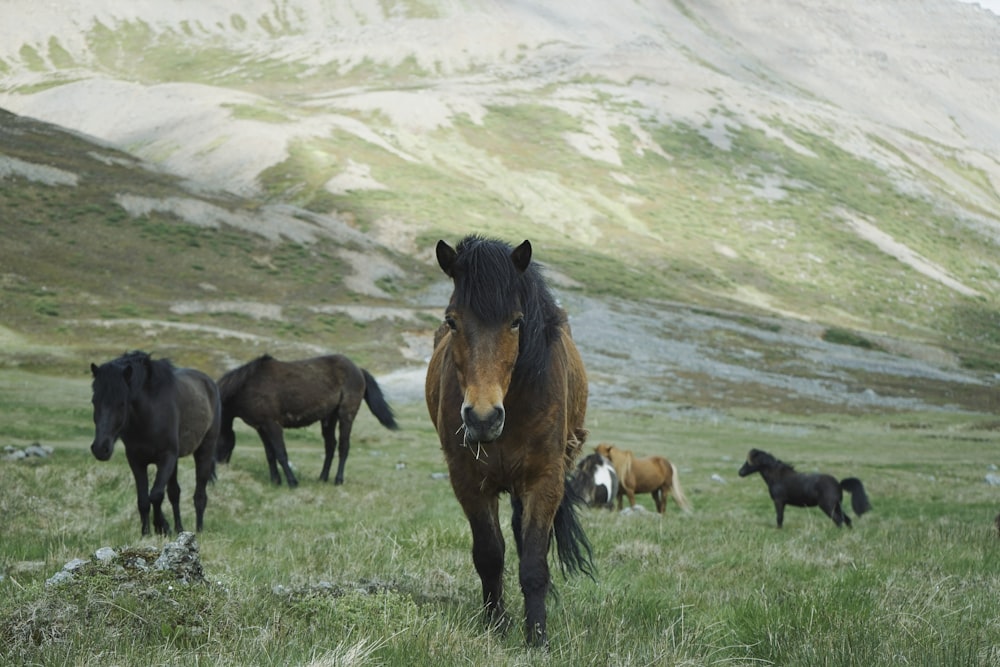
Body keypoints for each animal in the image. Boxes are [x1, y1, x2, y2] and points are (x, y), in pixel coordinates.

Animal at [90, 352, 221, 540]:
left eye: (122, 403)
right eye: (94, 401)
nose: (101, 448)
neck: (149, 415)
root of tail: (209, 383)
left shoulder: (166, 458)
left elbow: (156, 495)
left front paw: (161, 527)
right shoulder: (136, 460)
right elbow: (144, 500)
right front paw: (146, 533)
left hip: (204, 450)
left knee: (200, 495)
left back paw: (199, 529)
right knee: (174, 493)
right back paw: (179, 529)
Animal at [216, 354, 398, 486]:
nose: (219, 467)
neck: (247, 386)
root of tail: (358, 369)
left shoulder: (273, 425)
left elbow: (281, 453)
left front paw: (292, 482)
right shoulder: (261, 427)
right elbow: (270, 454)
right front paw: (276, 481)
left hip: (346, 415)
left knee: (343, 447)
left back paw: (338, 480)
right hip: (329, 418)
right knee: (330, 446)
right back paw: (322, 478)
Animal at [424, 235, 592, 648]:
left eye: (516, 321)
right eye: (452, 321)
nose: (483, 418)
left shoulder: (544, 480)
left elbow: (533, 561)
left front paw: (537, 638)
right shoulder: (469, 482)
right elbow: (489, 555)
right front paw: (496, 624)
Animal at [740, 448, 872, 528]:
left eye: (748, 462)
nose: (740, 472)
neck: (778, 477)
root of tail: (839, 484)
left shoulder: (779, 502)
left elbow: (779, 518)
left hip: (828, 507)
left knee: (838, 521)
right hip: (836, 506)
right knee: (847, 520)